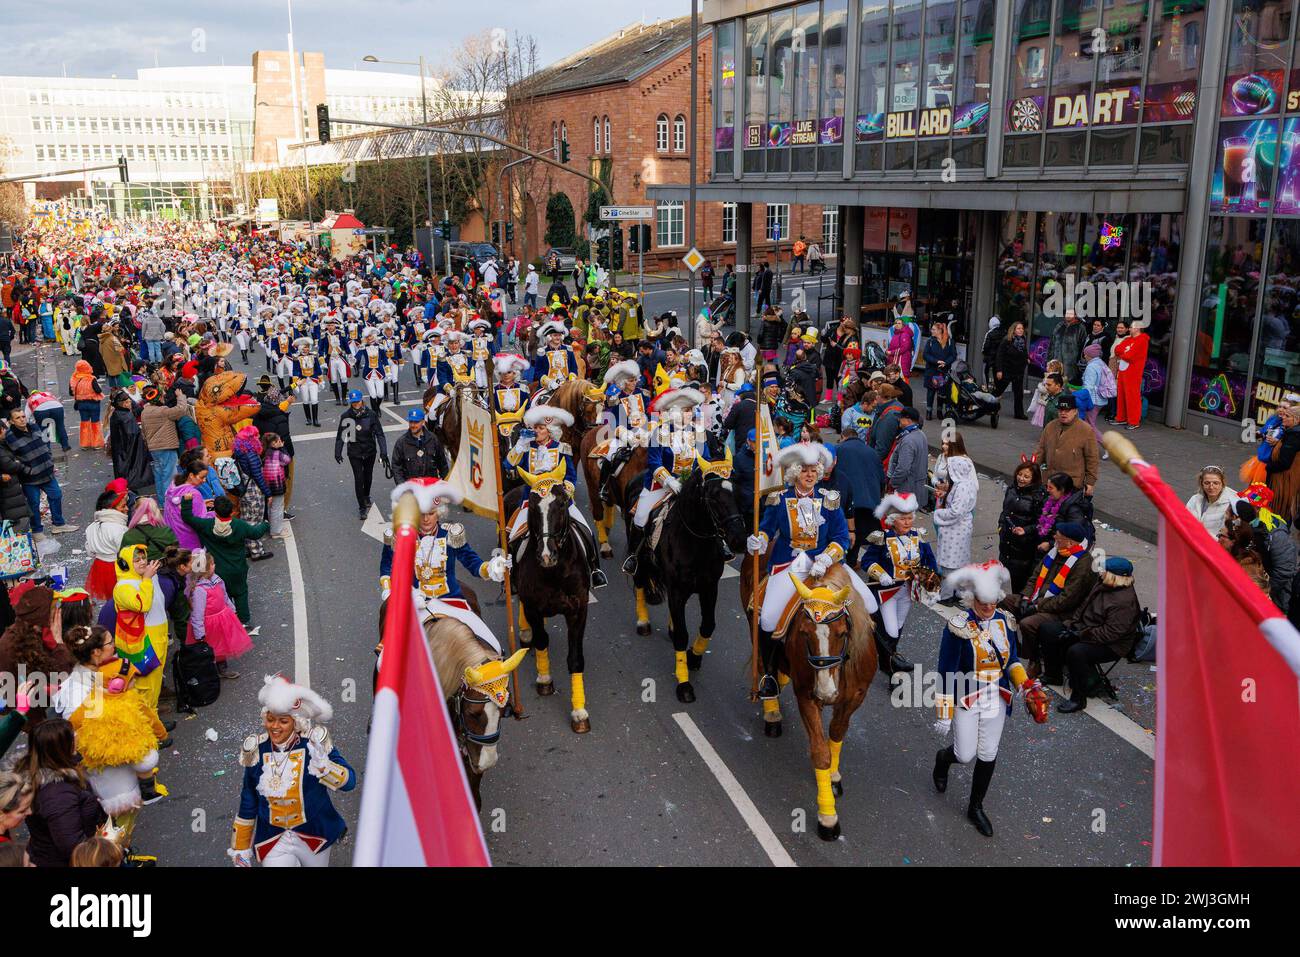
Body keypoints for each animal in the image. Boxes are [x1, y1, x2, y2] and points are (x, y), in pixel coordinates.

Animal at [506, 475, 595, 733]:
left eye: (563, 504)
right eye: (533, 508)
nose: (547, 555)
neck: (555, 572)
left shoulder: (578, 610)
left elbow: (575, 658)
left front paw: (579, 713)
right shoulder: (533, 606)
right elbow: (541, 639)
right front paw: (544, 680)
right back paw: (525, 633)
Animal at [634, 447, 748, 702]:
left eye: (737, 493)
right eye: (713, 497)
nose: (738, 540)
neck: (695, 543)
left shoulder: (709, 588)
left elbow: (707, 625)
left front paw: (694, 657)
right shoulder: (677, 591)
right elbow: (682, 635)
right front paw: (684, 684)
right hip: (640, 560)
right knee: (638, 583)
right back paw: (643, 622)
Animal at [743, 564, 873, 842]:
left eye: (842, 633)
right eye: (804, 633)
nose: (826, 692)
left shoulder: (855, 697)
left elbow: (836, 733)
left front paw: (834, 776)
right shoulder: (806, 696)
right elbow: (820, 752)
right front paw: (828, 817)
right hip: (756, 626)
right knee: (763, 662)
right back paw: (772, 711)